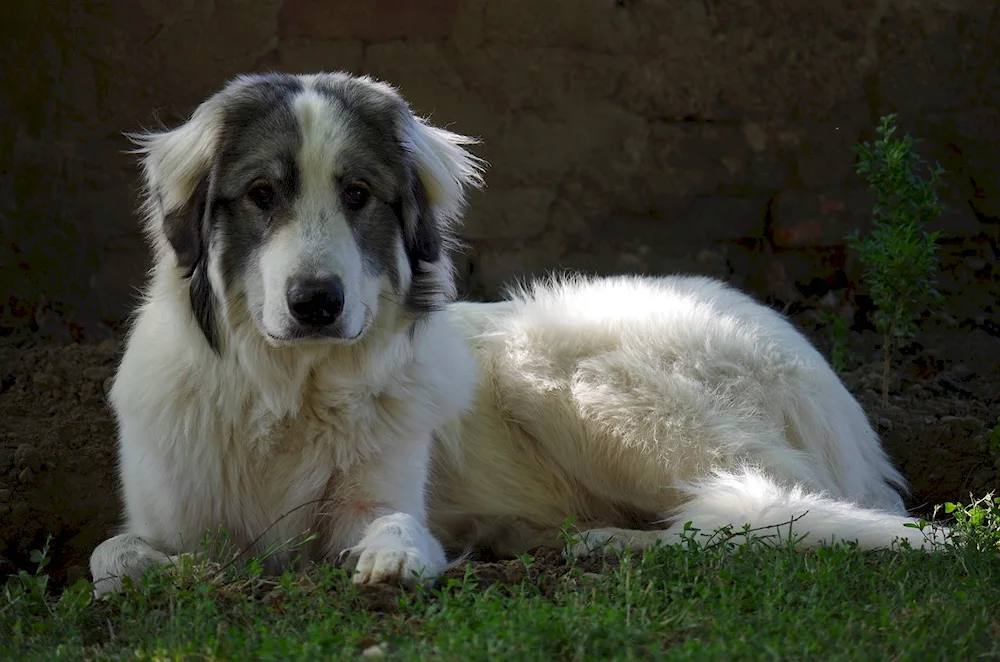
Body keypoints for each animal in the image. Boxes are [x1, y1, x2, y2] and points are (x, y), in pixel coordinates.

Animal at [90, 71, 940, 596]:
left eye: (357, 194)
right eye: (263, 194)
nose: (316, 302)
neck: (288, 394)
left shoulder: (380, 493)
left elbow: (395, 522)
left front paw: (396, 558)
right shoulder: (166, 518)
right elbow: (112, 555)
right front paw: (168, 573)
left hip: (569, 371)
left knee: (761, 507)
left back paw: (599, 544)